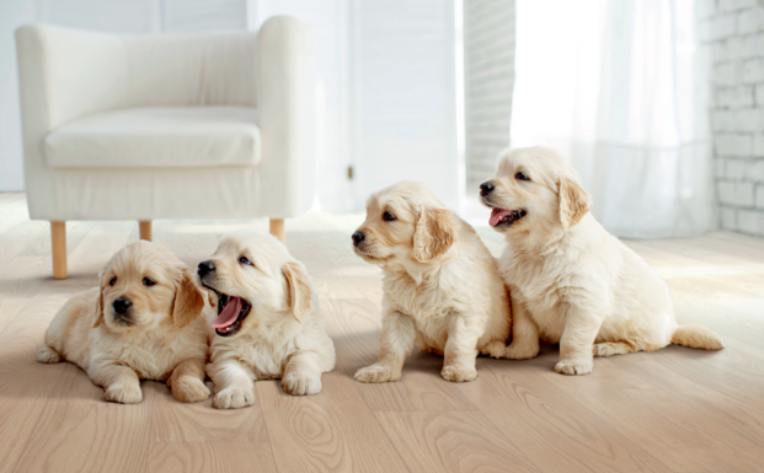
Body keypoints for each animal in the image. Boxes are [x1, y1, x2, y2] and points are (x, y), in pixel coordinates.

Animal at [36, 242, 212, 404]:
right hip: (60, 325)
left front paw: (191, 388)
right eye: (112, 281)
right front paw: (124, 391)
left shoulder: (193, 355)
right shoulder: (103, 361)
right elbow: (124, 372)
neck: (147, 333)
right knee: (50, 340)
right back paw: (48, 353)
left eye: (149, 281)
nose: (119, 303)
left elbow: (186, 369)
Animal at [198, 234, 336, 408]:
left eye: (244, 260)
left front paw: (301, 379)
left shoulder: (318, 344)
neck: (265, 331)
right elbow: (230, 371)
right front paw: (234, 392)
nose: (202, 266)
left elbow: (303, 356)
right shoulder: (223, 354)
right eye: (216, 253)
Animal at [354, 179, 512, 382]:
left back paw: (494, 347)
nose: (355, 236)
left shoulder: (464, 312)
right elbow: (391, 345)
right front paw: (382, 370)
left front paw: (458, 369)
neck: (418, 274)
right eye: (368, 213)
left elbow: (457, 344)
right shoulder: (398, 313)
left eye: (388, 215)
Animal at [480, 146, 724, 374]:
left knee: (640, 344)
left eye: (522, 176)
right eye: (498, 172)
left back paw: (605, 347)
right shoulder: (520, 296)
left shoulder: (584, 300)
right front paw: (519, 353)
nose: (483, 186)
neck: (541, 246)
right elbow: (524, 330)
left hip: (637, 327)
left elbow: (573, 337)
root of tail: (672, 326)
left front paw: (574, 364)